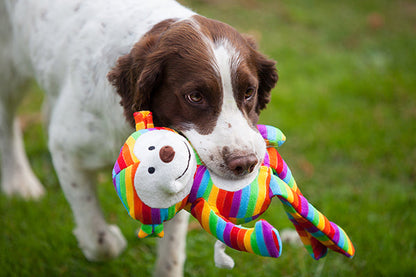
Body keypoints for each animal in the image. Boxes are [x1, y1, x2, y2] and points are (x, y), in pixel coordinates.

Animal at [1, 0, 278, 274]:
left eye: (249, 92)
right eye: (195, 96)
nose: (245, 163)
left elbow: (171, 251)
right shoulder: (67, 150)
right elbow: (99, 237)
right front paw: (106, 240)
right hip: (10, 69)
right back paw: (20, 182)